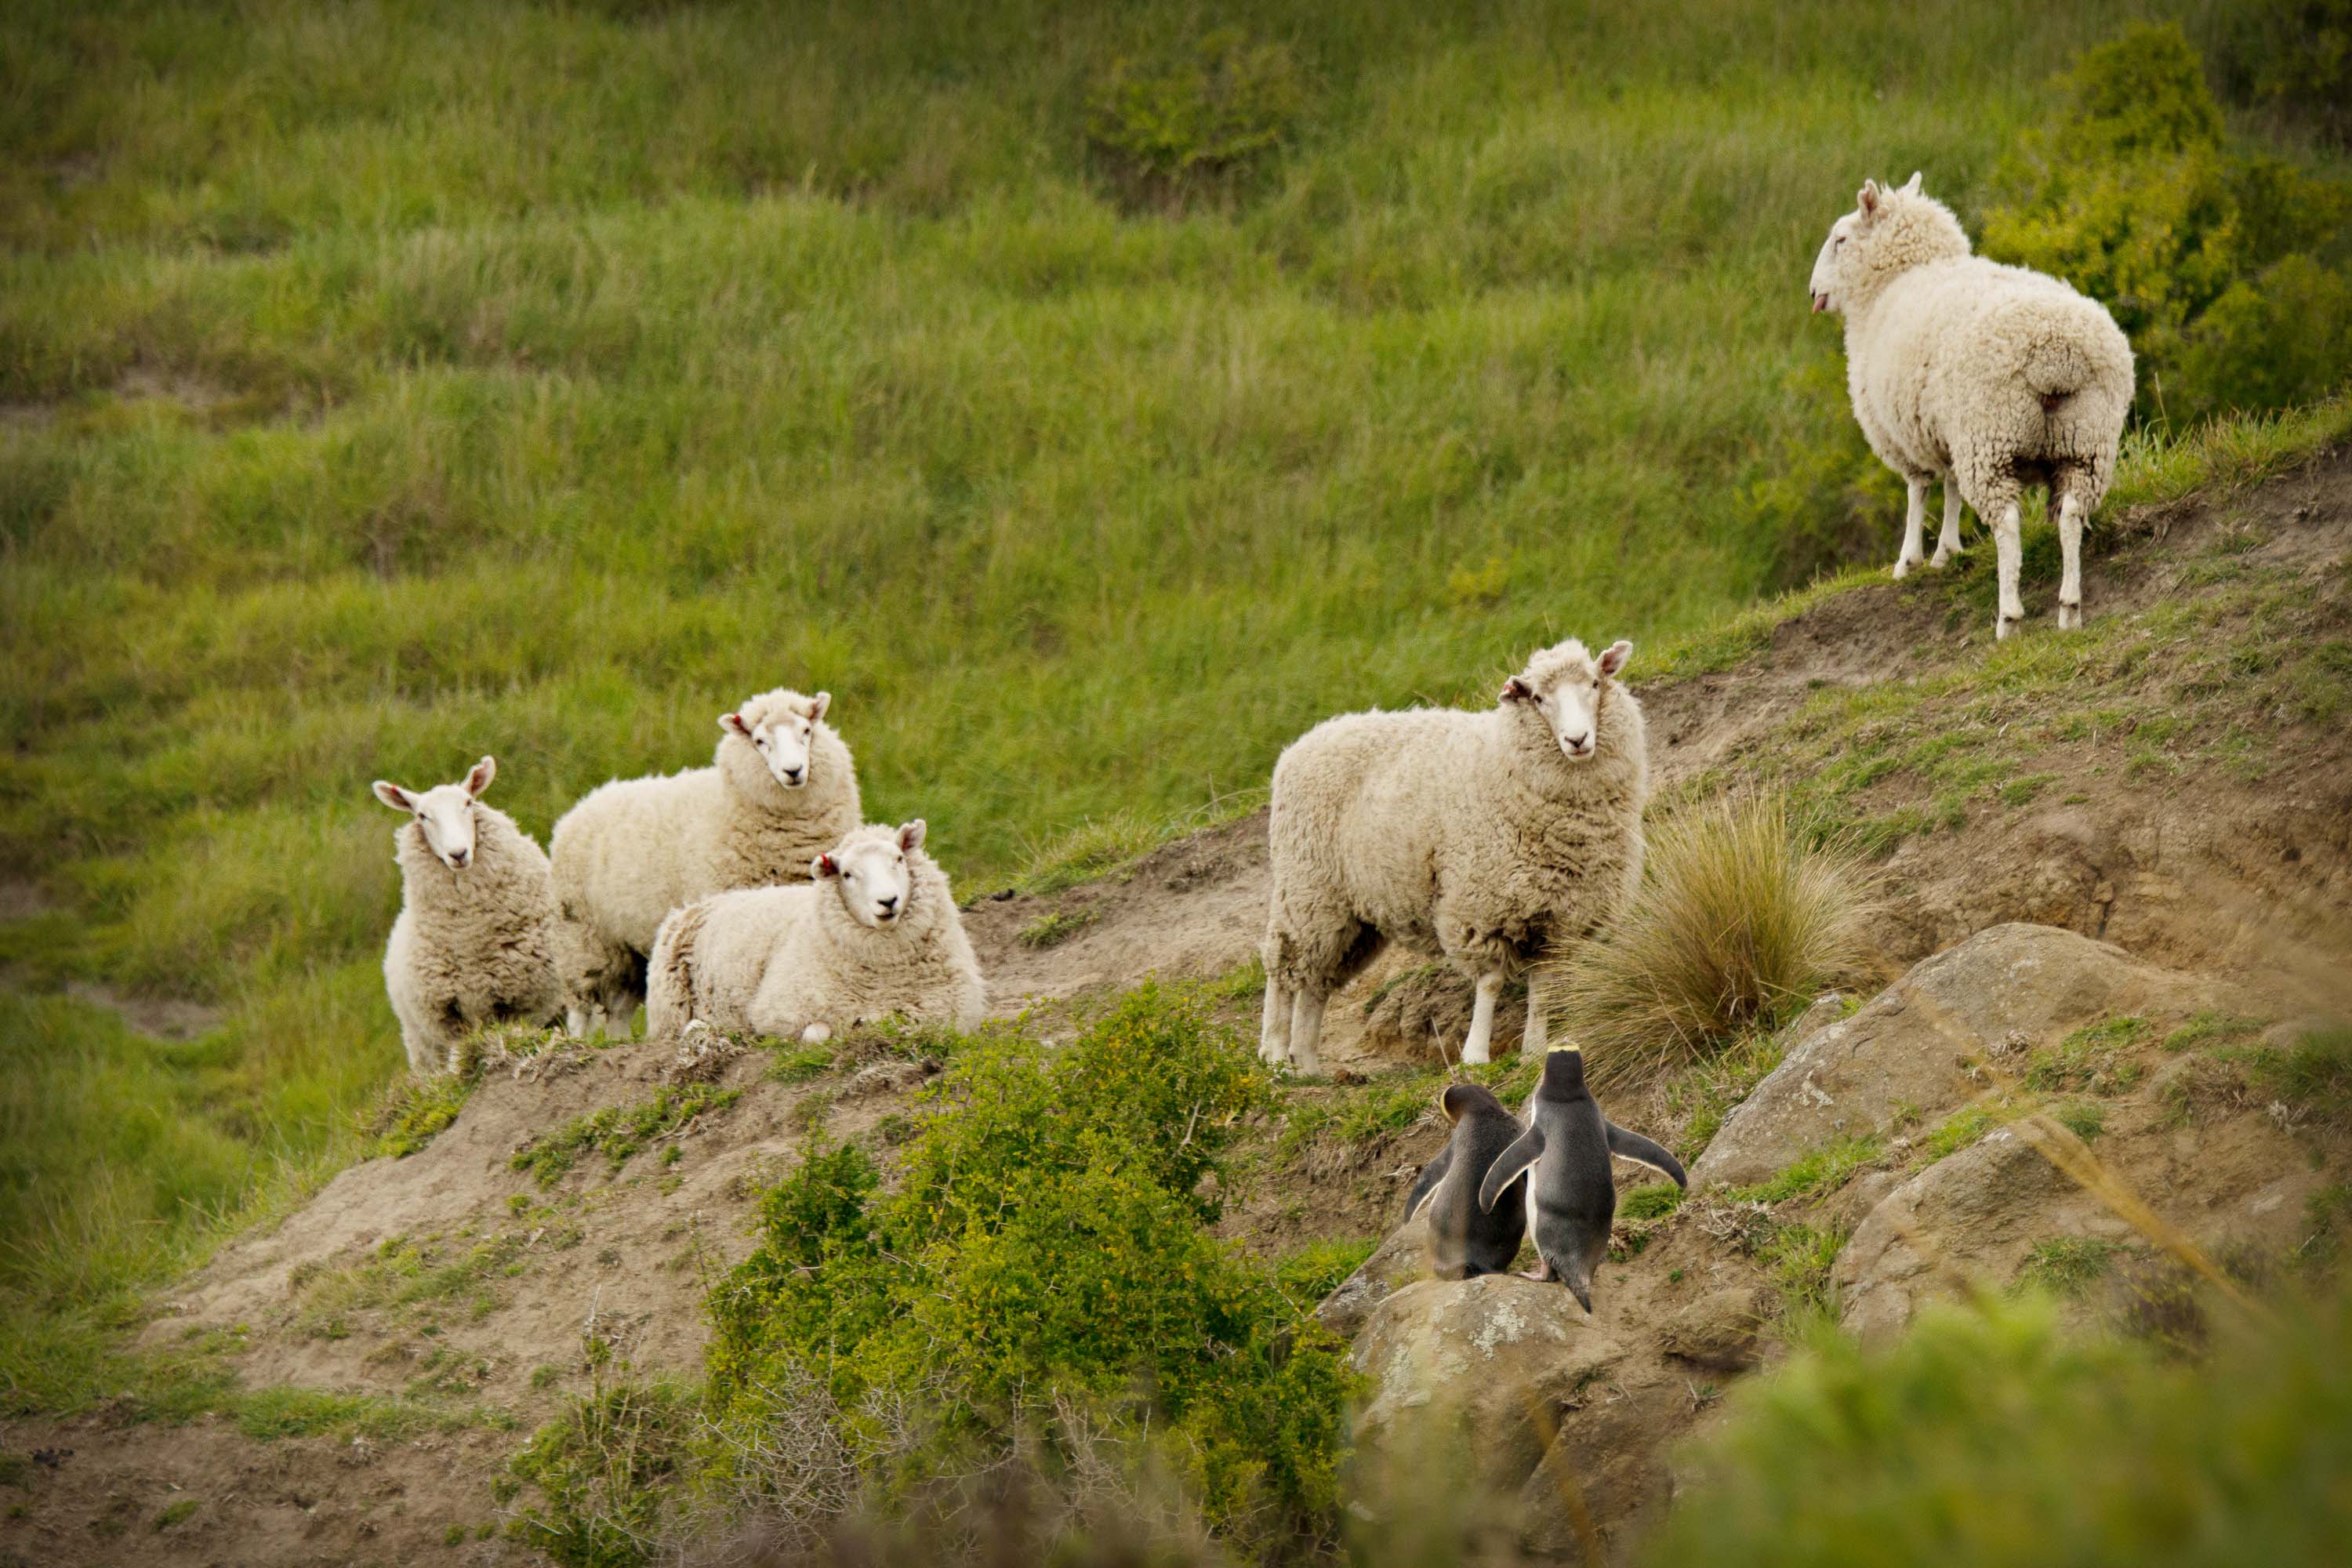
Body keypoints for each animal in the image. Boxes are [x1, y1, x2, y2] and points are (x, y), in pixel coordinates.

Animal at [373, 756, 563, 1075]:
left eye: (468, 802)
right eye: (422, 816)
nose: (458, 854)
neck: (469, 935)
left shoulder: (528, 1003)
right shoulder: (447, 1017)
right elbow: (457, 1061)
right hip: (421, 1046)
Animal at [549, 688, 861, 1037]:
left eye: (807, 731)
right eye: (759, 741)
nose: (793, 771)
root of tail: (585, 802)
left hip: (627, 946)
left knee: (619, 1007)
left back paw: (619, 1041)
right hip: (582, 937)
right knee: (581, 1007)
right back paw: (579, 1040)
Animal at [645, 820, 986, 1046]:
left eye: (899, 859)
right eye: (847, 874)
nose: (888, 901)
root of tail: (693, 905)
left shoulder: (955, 1012)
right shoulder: (779, 1012)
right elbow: (816, 1034)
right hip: (668, 1013)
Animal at [1258, 637, 1648, 1074]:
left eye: (1595, 684)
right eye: (1538, 698)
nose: (1577, 740)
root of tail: (1303, 742)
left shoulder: (1562, 914)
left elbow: (1545, 984)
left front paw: (1534, 1049)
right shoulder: (1484, 904)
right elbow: (1491, 982)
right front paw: (1475, 1055)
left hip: (1349, 916)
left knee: (1317, 982)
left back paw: (1308, 1064)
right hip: (1307, 889)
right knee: (1284, 970)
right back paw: (1276, 1056)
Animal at [1808, 172, 2135, 639]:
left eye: (1840, 240)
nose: (1813, 292)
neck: (1897, 281)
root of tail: (2057, 351)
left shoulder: (1907, 436)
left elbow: (1919, 491)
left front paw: (1909, 560)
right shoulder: (1944, 429)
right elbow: (1950, 487)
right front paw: (1947, 551)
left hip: (1990, 435)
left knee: (2009, 524)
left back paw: (2008, 617)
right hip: (2085, 442)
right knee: (2072, 514)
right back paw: (2069, 609)